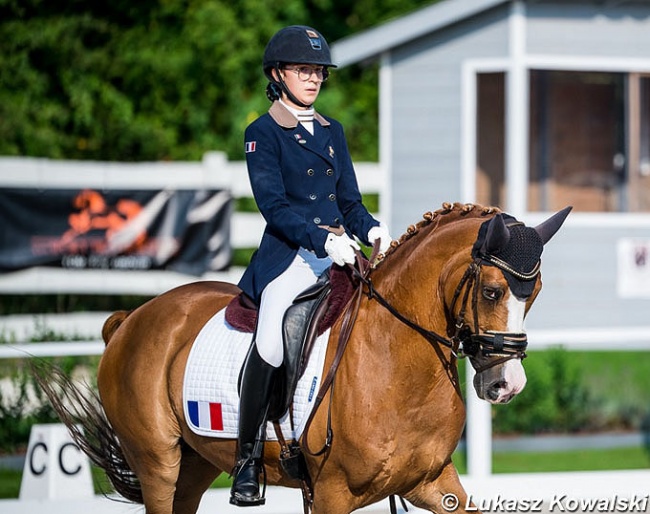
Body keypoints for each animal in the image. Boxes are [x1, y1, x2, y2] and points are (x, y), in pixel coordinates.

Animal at [39, 201, 568, 512]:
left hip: (194, 466)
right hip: (158, 464)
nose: (507, 384)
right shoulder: (333, 493)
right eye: (492, 291)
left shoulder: (434, 483)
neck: (395, 359)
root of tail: (130, 319)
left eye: (536, 293)